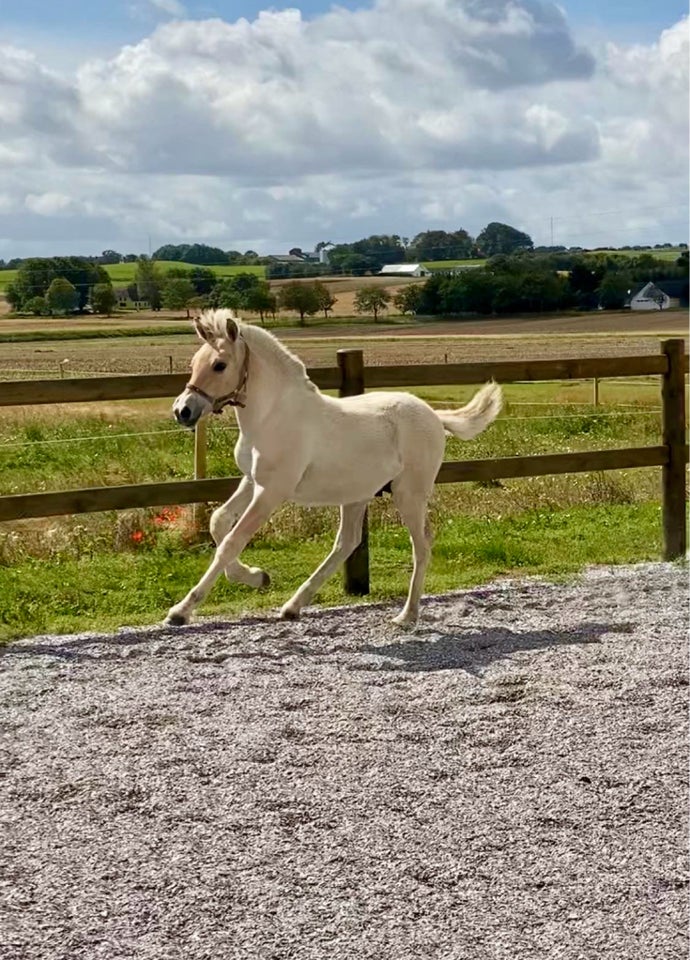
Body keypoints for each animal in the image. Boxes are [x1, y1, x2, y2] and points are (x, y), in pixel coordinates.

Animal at [167, 310, 500, 632]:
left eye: (219, 365)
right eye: (194, 363)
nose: (183, 411)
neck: (271, 417)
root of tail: (434, 415)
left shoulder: (272, 490)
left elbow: (231, 542)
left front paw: (180, 611)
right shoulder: (252, 481)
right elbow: (218, 522)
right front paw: (258, 576)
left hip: (409, 494)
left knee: (421, 544)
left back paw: (407, 615)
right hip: (357, 494)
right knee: (347, 542)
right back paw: (293, 606)